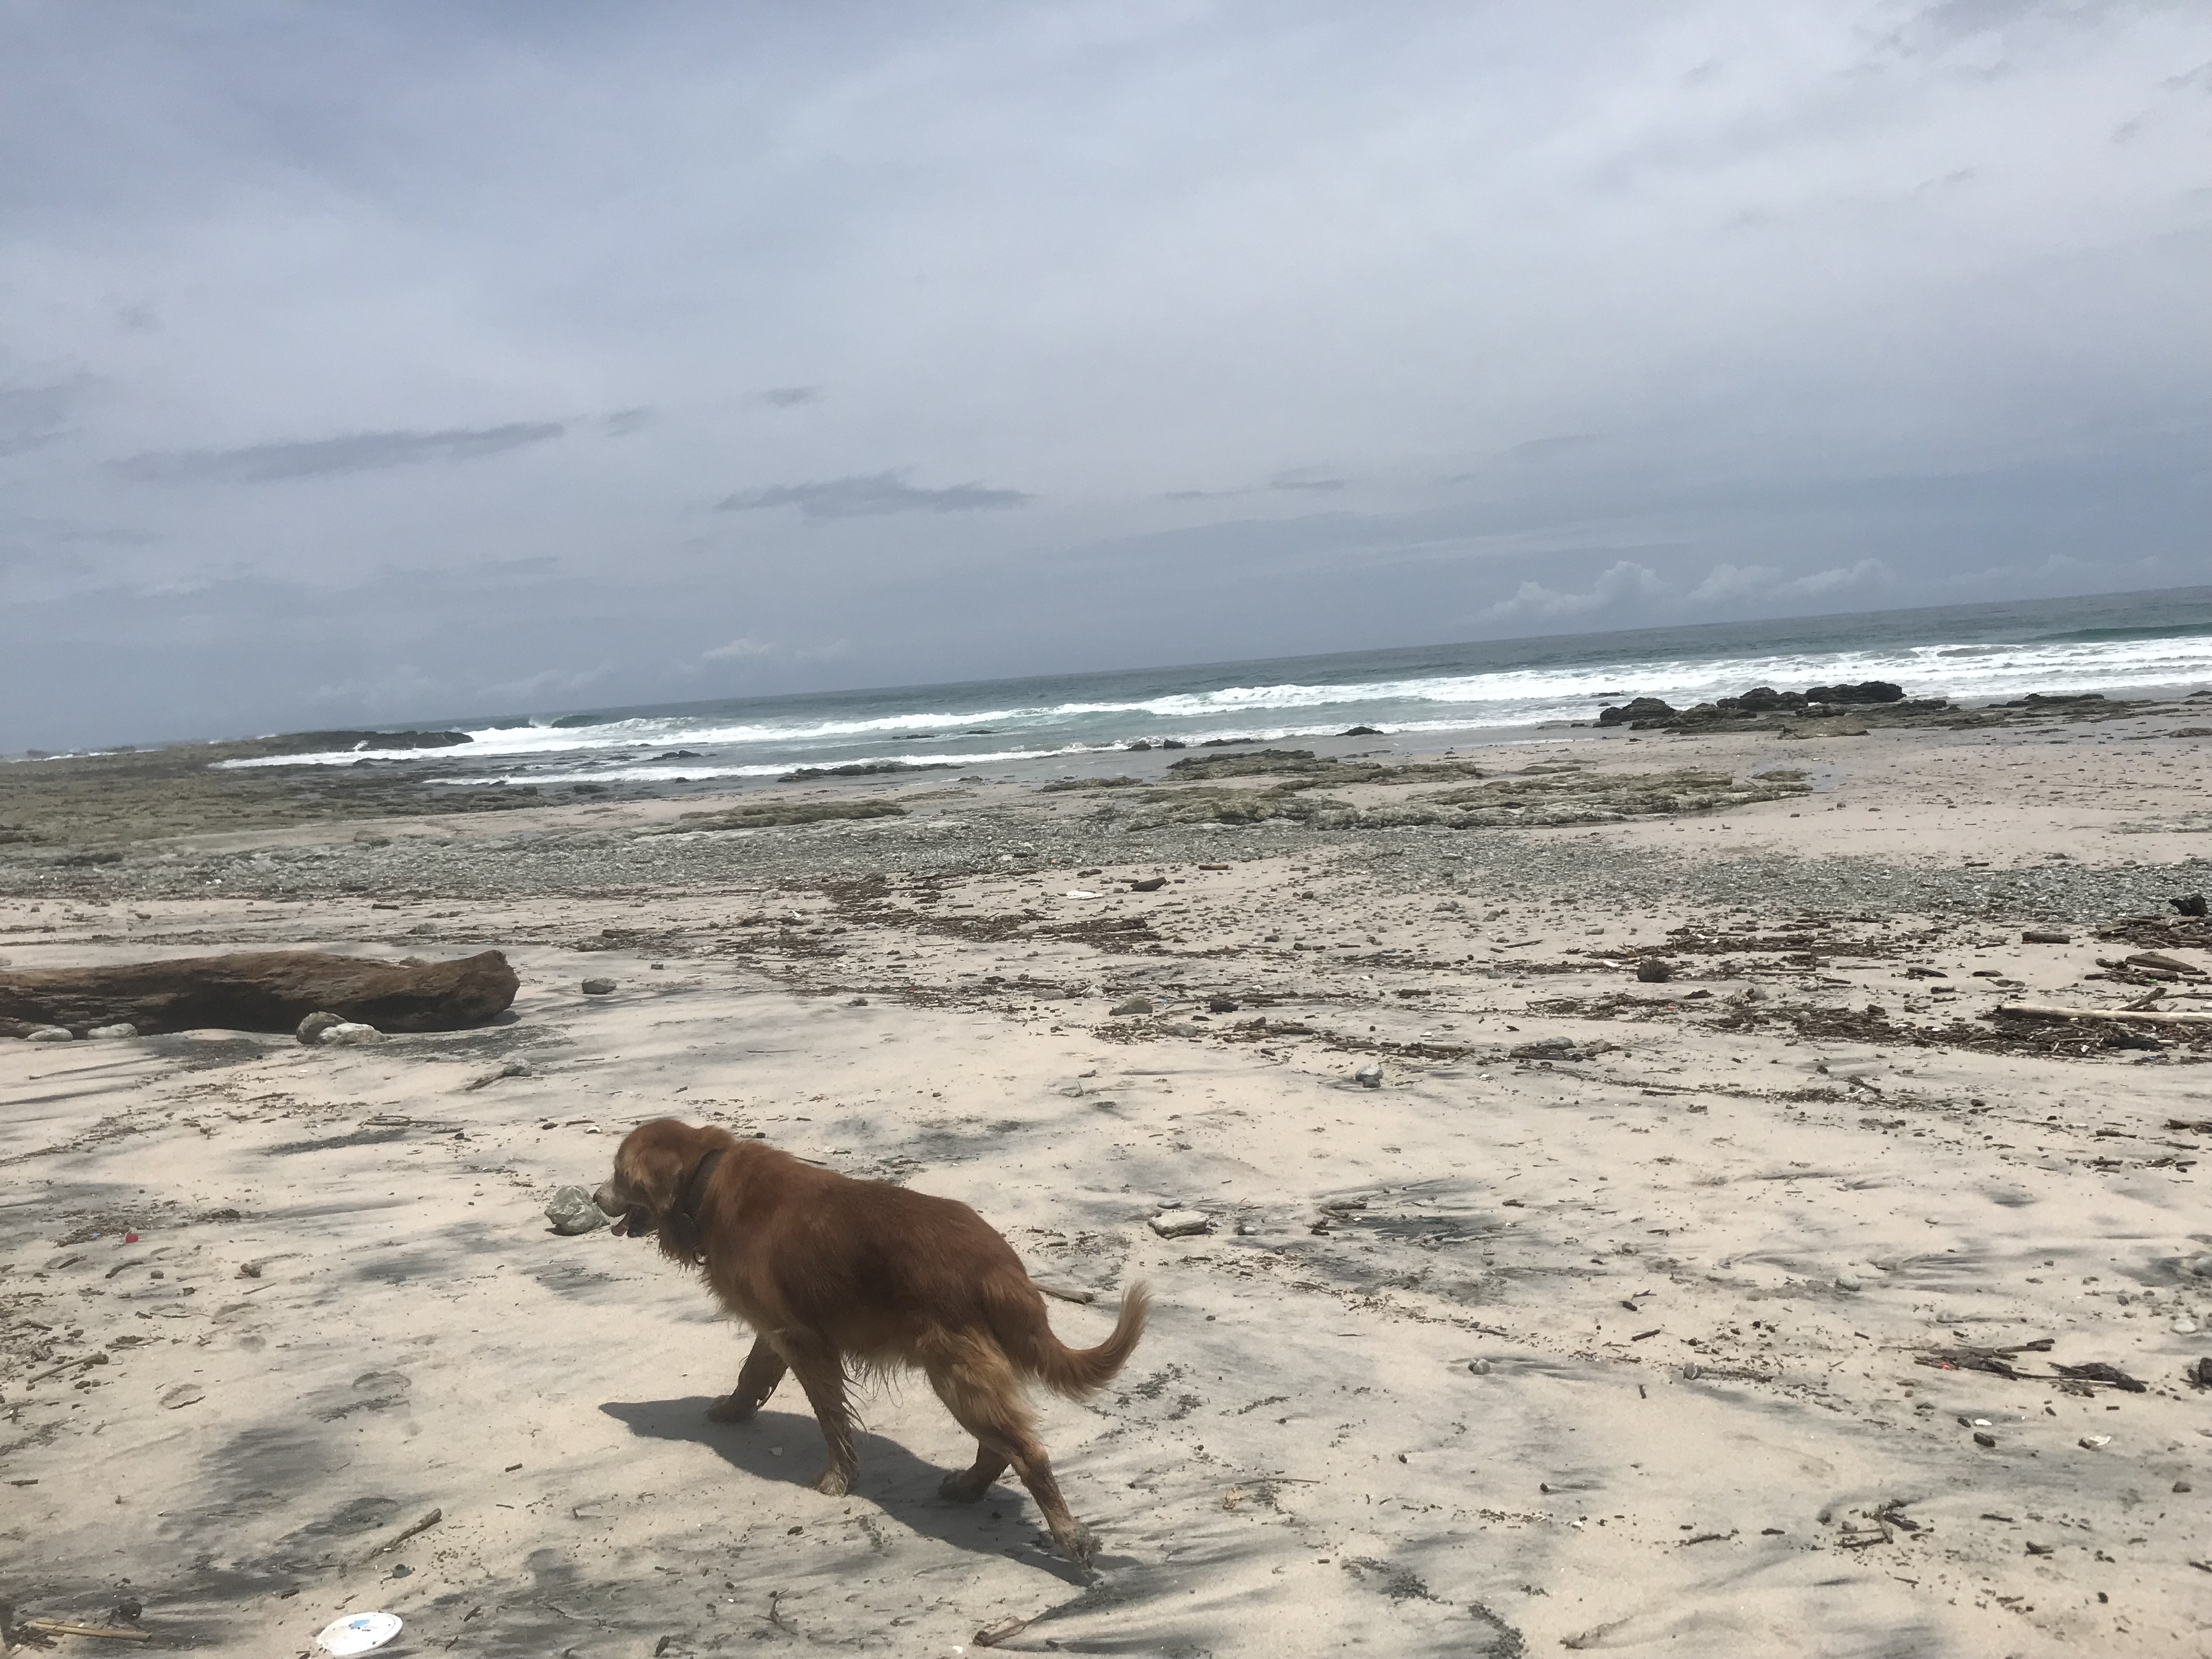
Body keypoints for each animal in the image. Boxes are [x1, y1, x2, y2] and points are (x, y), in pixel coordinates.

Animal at [597, 1124, 1150, 1566]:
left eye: (619, 1175)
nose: (596, 1198)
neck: (706, 1179)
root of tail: (1001, 1265)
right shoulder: (779, 1329)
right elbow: (752, 1373)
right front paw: (733, 1411)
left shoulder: (805, 1342)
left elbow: (830, 1417)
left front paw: (838, 1477)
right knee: (1001, 1447)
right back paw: (968, 1487)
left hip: (955, 1373)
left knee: (1027, 1453)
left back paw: (1068, 1534)